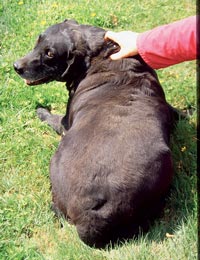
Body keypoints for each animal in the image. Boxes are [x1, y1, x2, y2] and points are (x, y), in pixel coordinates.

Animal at [13, 19, 175, 248]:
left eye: (50, 53)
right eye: (38, 41)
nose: (16, 66)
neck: (99, 55)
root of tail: (92, 214)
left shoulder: (65, 123)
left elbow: (51, 118)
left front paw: (40, 110)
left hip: (56, 164)